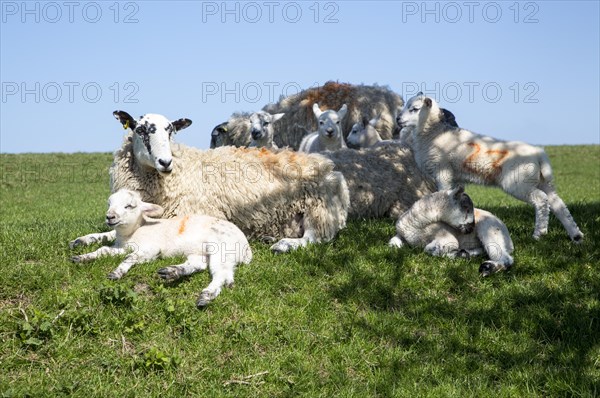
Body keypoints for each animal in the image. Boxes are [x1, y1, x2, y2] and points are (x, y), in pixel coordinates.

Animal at [69, 190, 252, 308]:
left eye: (129, 206)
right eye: (109, 203)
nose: (110, 217)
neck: (134, 231)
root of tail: (246, 248)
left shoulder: (150, 249)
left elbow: (130, 257)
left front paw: (116, 273)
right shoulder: (122, 247)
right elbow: (103, 250)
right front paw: (82, 257)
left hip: (222, 248)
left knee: (223, 274)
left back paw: (205, 296)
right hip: (200, 252)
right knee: (198, 265)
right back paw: (172, 272)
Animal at [110, 109, 350, 252]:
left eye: (170, 131)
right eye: (140, 130)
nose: (165, 162)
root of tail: (331, 168)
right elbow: (109, 233)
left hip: (318, 208)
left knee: (316, 238)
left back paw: (283, 244)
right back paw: (269, 238)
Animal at [412, 95, 580, 243]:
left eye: (414, 109)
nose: (402, 121)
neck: (434, 134)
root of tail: (539, 153)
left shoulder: (443, 172)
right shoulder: (454, 177)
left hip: (519, 183)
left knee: (541, 199)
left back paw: (539, 234)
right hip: (543, 180)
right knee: (558, 204)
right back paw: (576, 235)